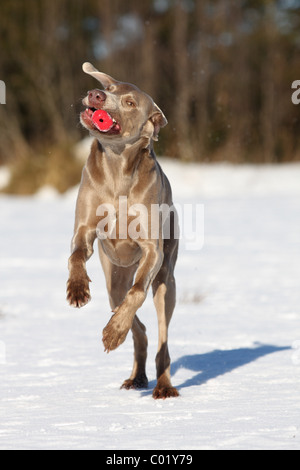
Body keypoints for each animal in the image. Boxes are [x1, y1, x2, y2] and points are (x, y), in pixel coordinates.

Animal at [67, 62, 179, 398]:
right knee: (139, 329)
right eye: (110, 88)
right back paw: (137, 376)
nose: (96, 94)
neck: (117, 168)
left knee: (161, 334)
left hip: (166, 280)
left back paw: (163, 385)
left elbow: (138, 291)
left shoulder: (153, 250)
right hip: (113, 278)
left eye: (129, 102)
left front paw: (113, 333)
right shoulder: (84, 229)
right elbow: (76, 255)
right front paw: (78, 289)